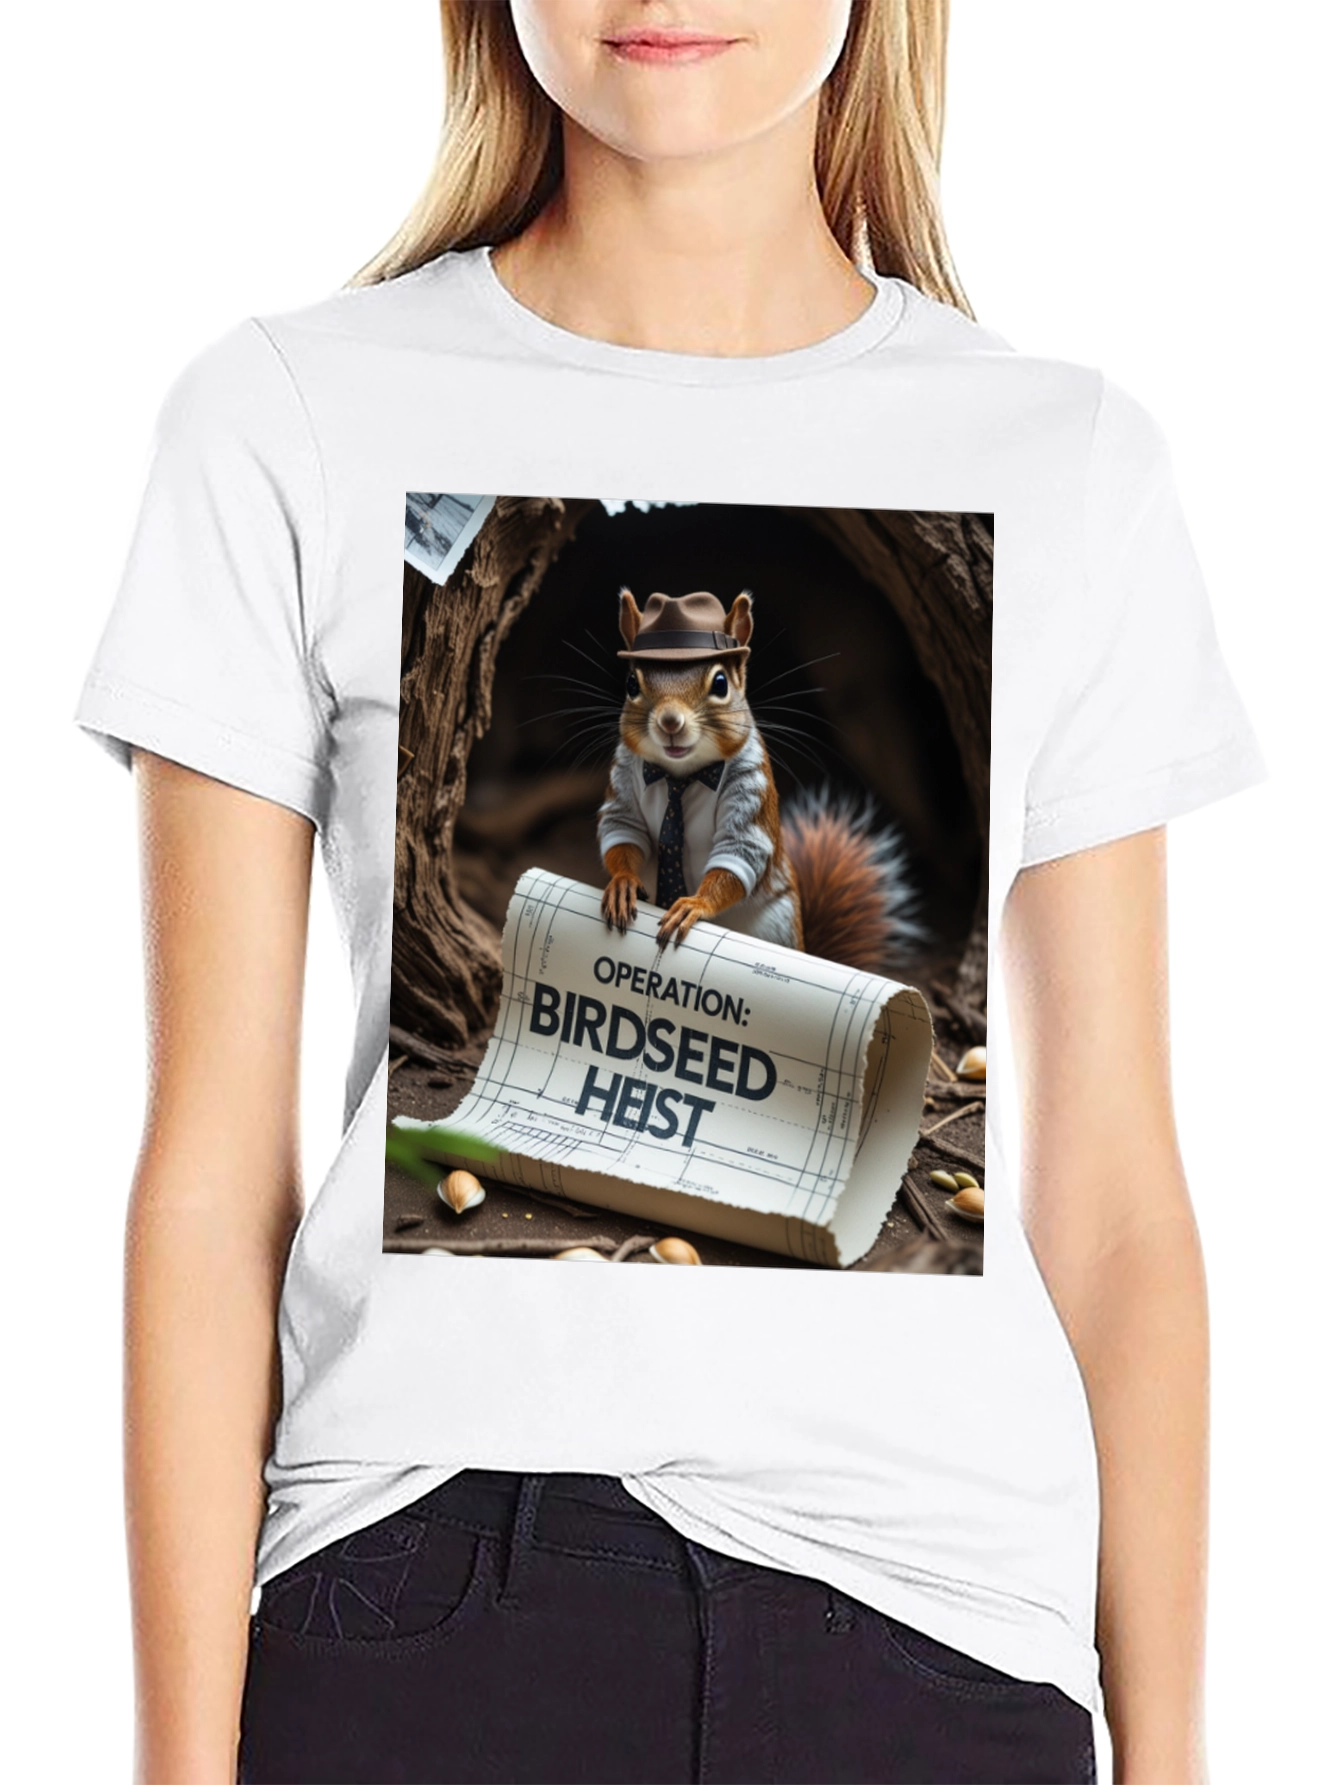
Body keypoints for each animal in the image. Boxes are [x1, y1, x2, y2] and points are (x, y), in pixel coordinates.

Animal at [597, 587, 924, 974]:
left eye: (720, 683)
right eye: (632, 683)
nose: (670, 722)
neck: (681, 776)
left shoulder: (749, 783)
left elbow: (738, 848)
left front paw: (695, 905)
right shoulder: (625, 773)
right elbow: (623, 828)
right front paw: (622, 883)